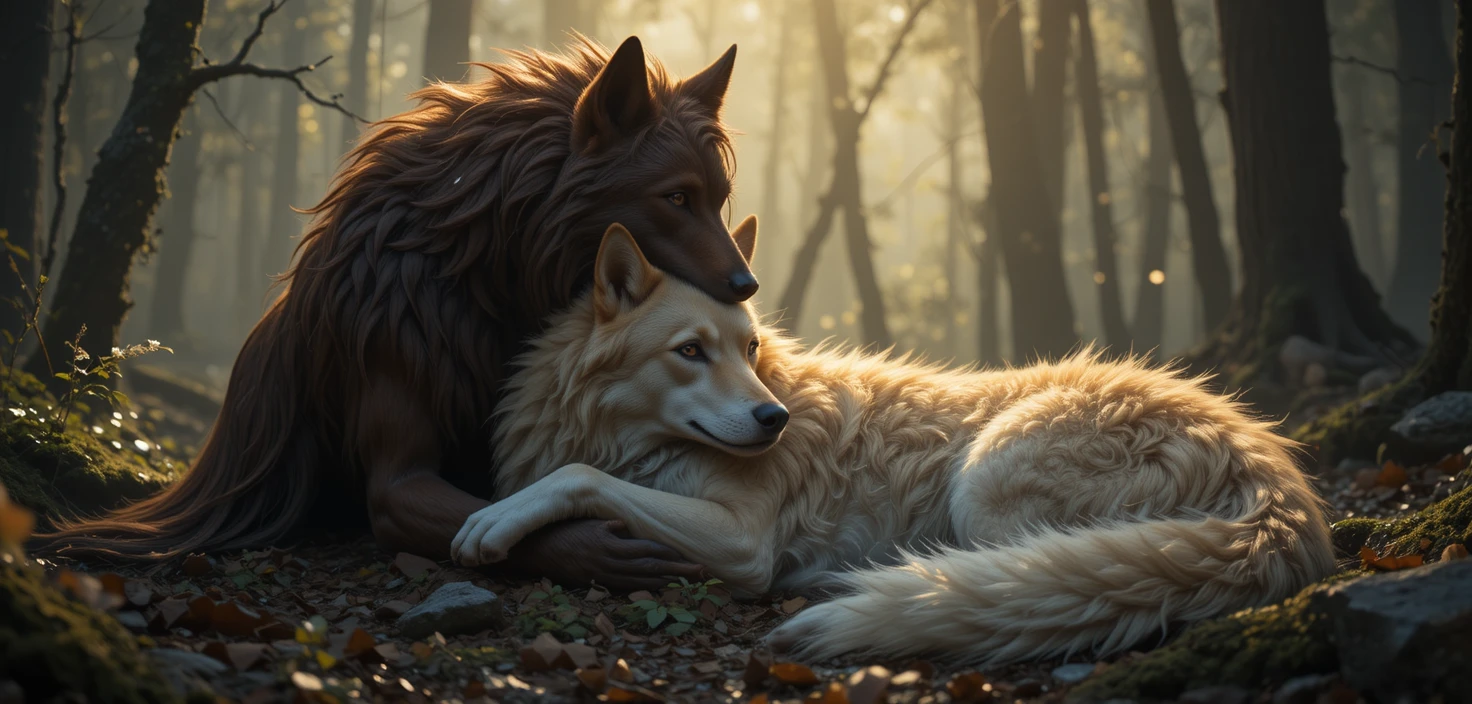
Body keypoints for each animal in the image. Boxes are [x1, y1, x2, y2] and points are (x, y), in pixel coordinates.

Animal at [453, 223, 1336, 663]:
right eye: (691, 351)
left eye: (749, 348)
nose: (773, 420)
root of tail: (1269, 467)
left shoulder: (741, 540)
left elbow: (577, 477)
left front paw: (493, 523)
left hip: (982, 484)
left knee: (1011, 579)